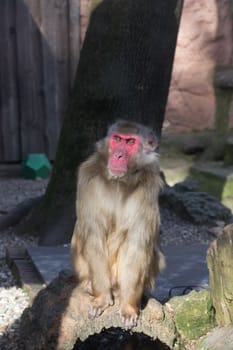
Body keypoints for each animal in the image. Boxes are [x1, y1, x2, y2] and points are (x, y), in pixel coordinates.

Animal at [70, 119, 165, 328]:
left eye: (130, 142)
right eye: (117, 139)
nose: (118, 155)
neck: (120, 182)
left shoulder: (148, 188)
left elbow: (137, 243)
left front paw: (128, 306)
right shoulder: (88, 179)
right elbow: (93, 236)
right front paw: (102, 299)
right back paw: (91, 285)